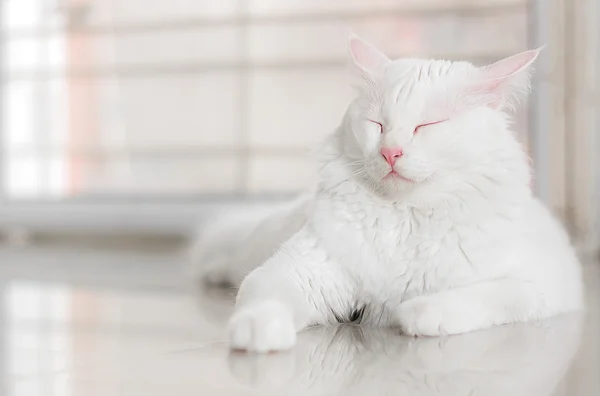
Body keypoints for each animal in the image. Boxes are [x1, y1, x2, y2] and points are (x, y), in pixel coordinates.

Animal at [203, 36, 584, 352]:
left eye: (427, 126)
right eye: (378, 125)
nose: (390, 153)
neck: (404, 216)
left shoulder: (541, 284)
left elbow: (483, 296)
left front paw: (417, 312)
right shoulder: (299, 270)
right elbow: (265, 300)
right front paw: (257, 332)